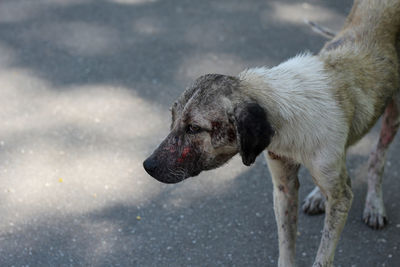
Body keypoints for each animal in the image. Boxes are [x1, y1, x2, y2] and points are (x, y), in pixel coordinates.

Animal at [142, 1, 398, 266]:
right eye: (172, 117)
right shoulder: (284, 188)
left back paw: (374, 205)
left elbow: (324, 255)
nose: (147, 166)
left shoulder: (340, 198)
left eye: (194, 128)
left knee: (376, 157)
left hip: (393, 115)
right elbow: (286, 244)